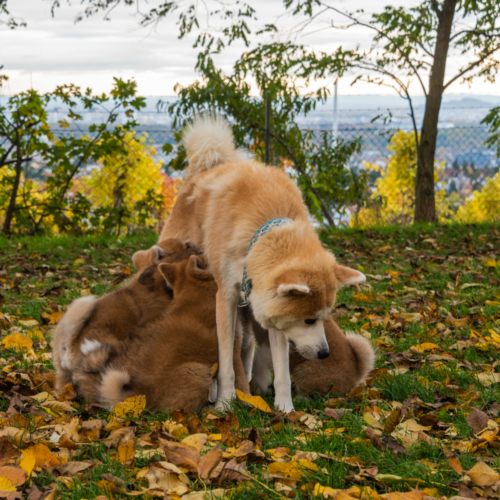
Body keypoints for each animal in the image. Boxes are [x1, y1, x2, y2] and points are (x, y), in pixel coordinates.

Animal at [154, 115, 366, 412]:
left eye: (325, 317)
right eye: (309, 320)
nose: (325, 354)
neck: (262, 229)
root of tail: (208, 167)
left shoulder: (272, 314)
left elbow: (282, 370)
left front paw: (285, 409)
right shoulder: (226, 298)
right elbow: (226, 364)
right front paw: (225, 404)